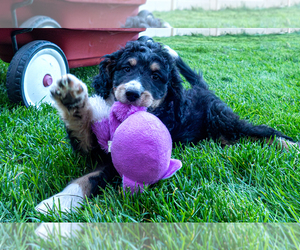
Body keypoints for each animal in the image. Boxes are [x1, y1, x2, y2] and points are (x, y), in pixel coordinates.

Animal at [35, 38, 296, 214]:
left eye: (156, 77)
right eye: (126, 68)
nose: (132, 93)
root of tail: (203, 89)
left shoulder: (117, 161)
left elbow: (90, 178)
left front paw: (57, 204)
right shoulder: (91, 146)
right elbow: (83, 132)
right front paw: (72, 100)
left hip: (224, 120)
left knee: (263, 131)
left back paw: (291, 146)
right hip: (220, 134)